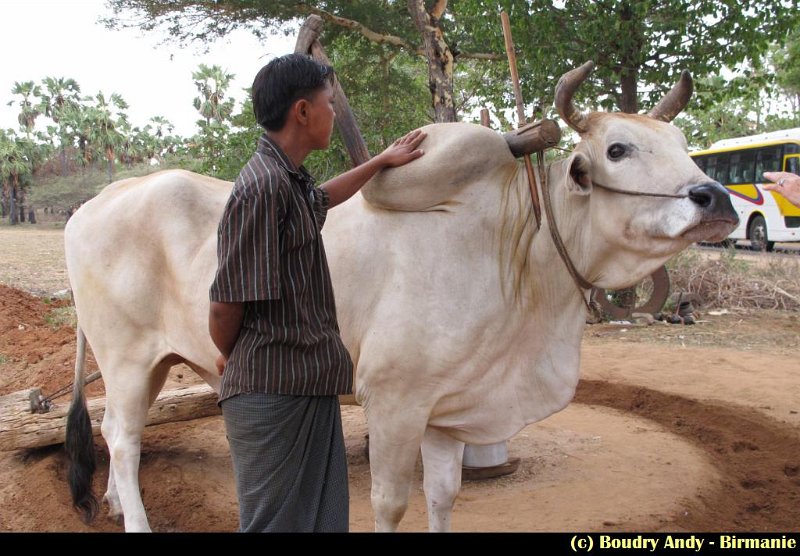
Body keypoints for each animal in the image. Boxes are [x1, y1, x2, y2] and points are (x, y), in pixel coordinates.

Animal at [65, 60, 740, 528]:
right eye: (616, 149)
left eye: (684, 146)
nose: (716, 199)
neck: (515, 250)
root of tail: (93, 202)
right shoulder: (394, 403)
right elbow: (391, 504)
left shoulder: (448, 409)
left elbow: (443, 497)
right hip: (125, 358)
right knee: (121, 440)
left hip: (156, 362)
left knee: (120, 437)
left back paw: (118, 507)